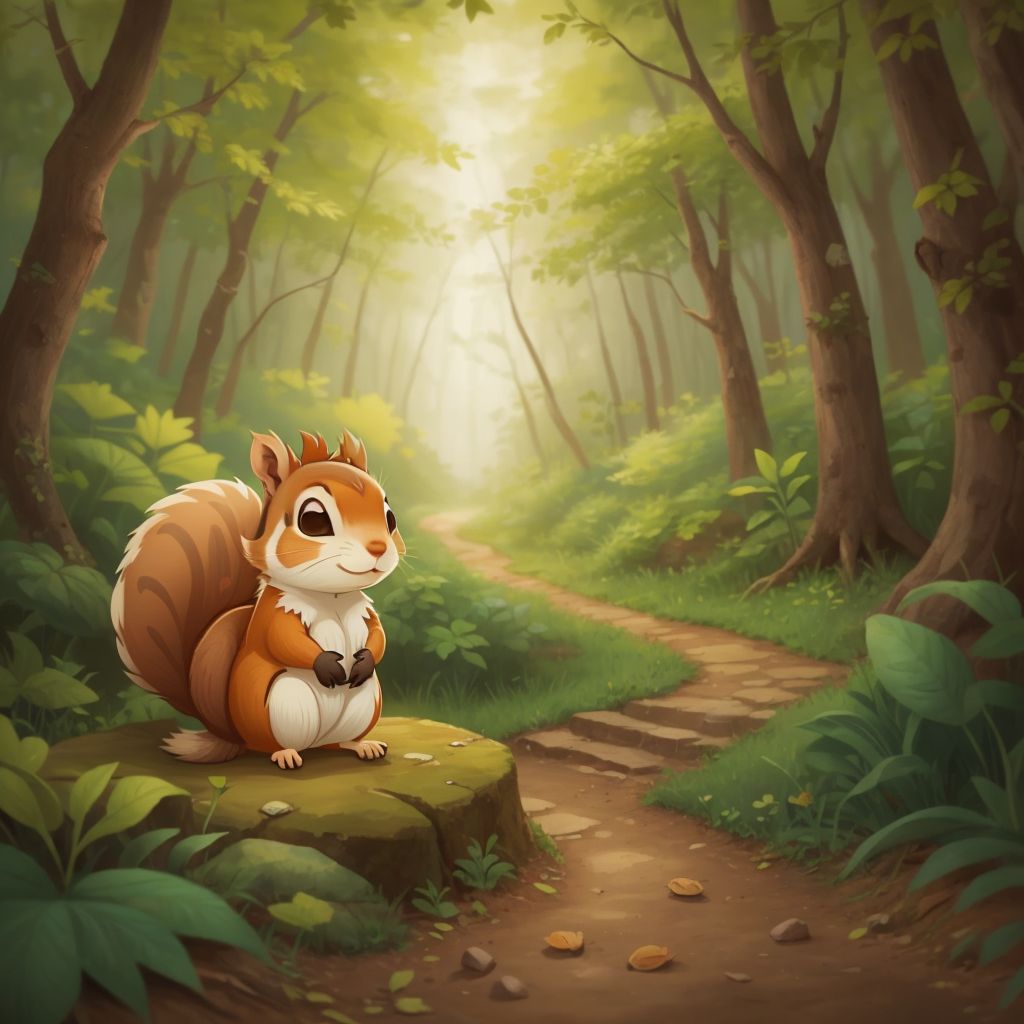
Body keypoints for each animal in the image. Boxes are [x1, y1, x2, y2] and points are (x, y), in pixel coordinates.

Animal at [111, 429, 405, 770]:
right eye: (313, 519)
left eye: (390, 517)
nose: (378, 548)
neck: (331, 596)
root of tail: (235, 736)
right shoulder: (273, 614)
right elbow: (283, 640)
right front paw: (326, 664)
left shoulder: (367, 614)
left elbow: (378, 637)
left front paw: (365, 660)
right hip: (283, 704)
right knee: (273, 745)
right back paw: (287, 754)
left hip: (366, 702)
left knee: (341, 741)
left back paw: (362, 746)